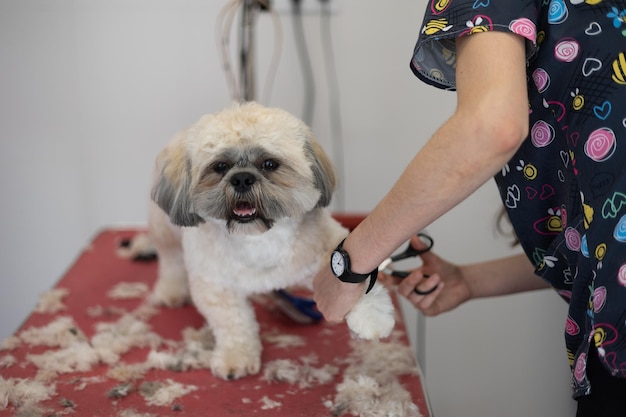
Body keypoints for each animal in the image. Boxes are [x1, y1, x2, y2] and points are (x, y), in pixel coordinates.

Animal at [125, 102, 392, 378]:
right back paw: (172, 290)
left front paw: (372, 318)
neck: (257, 239)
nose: (242, 178)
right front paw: (236, 358)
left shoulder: (325, 248)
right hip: (165, 230)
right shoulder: (216, 286)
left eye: (269, 164)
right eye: (220, 166)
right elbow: (234, 324)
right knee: (171, 260)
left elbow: (354, 277)